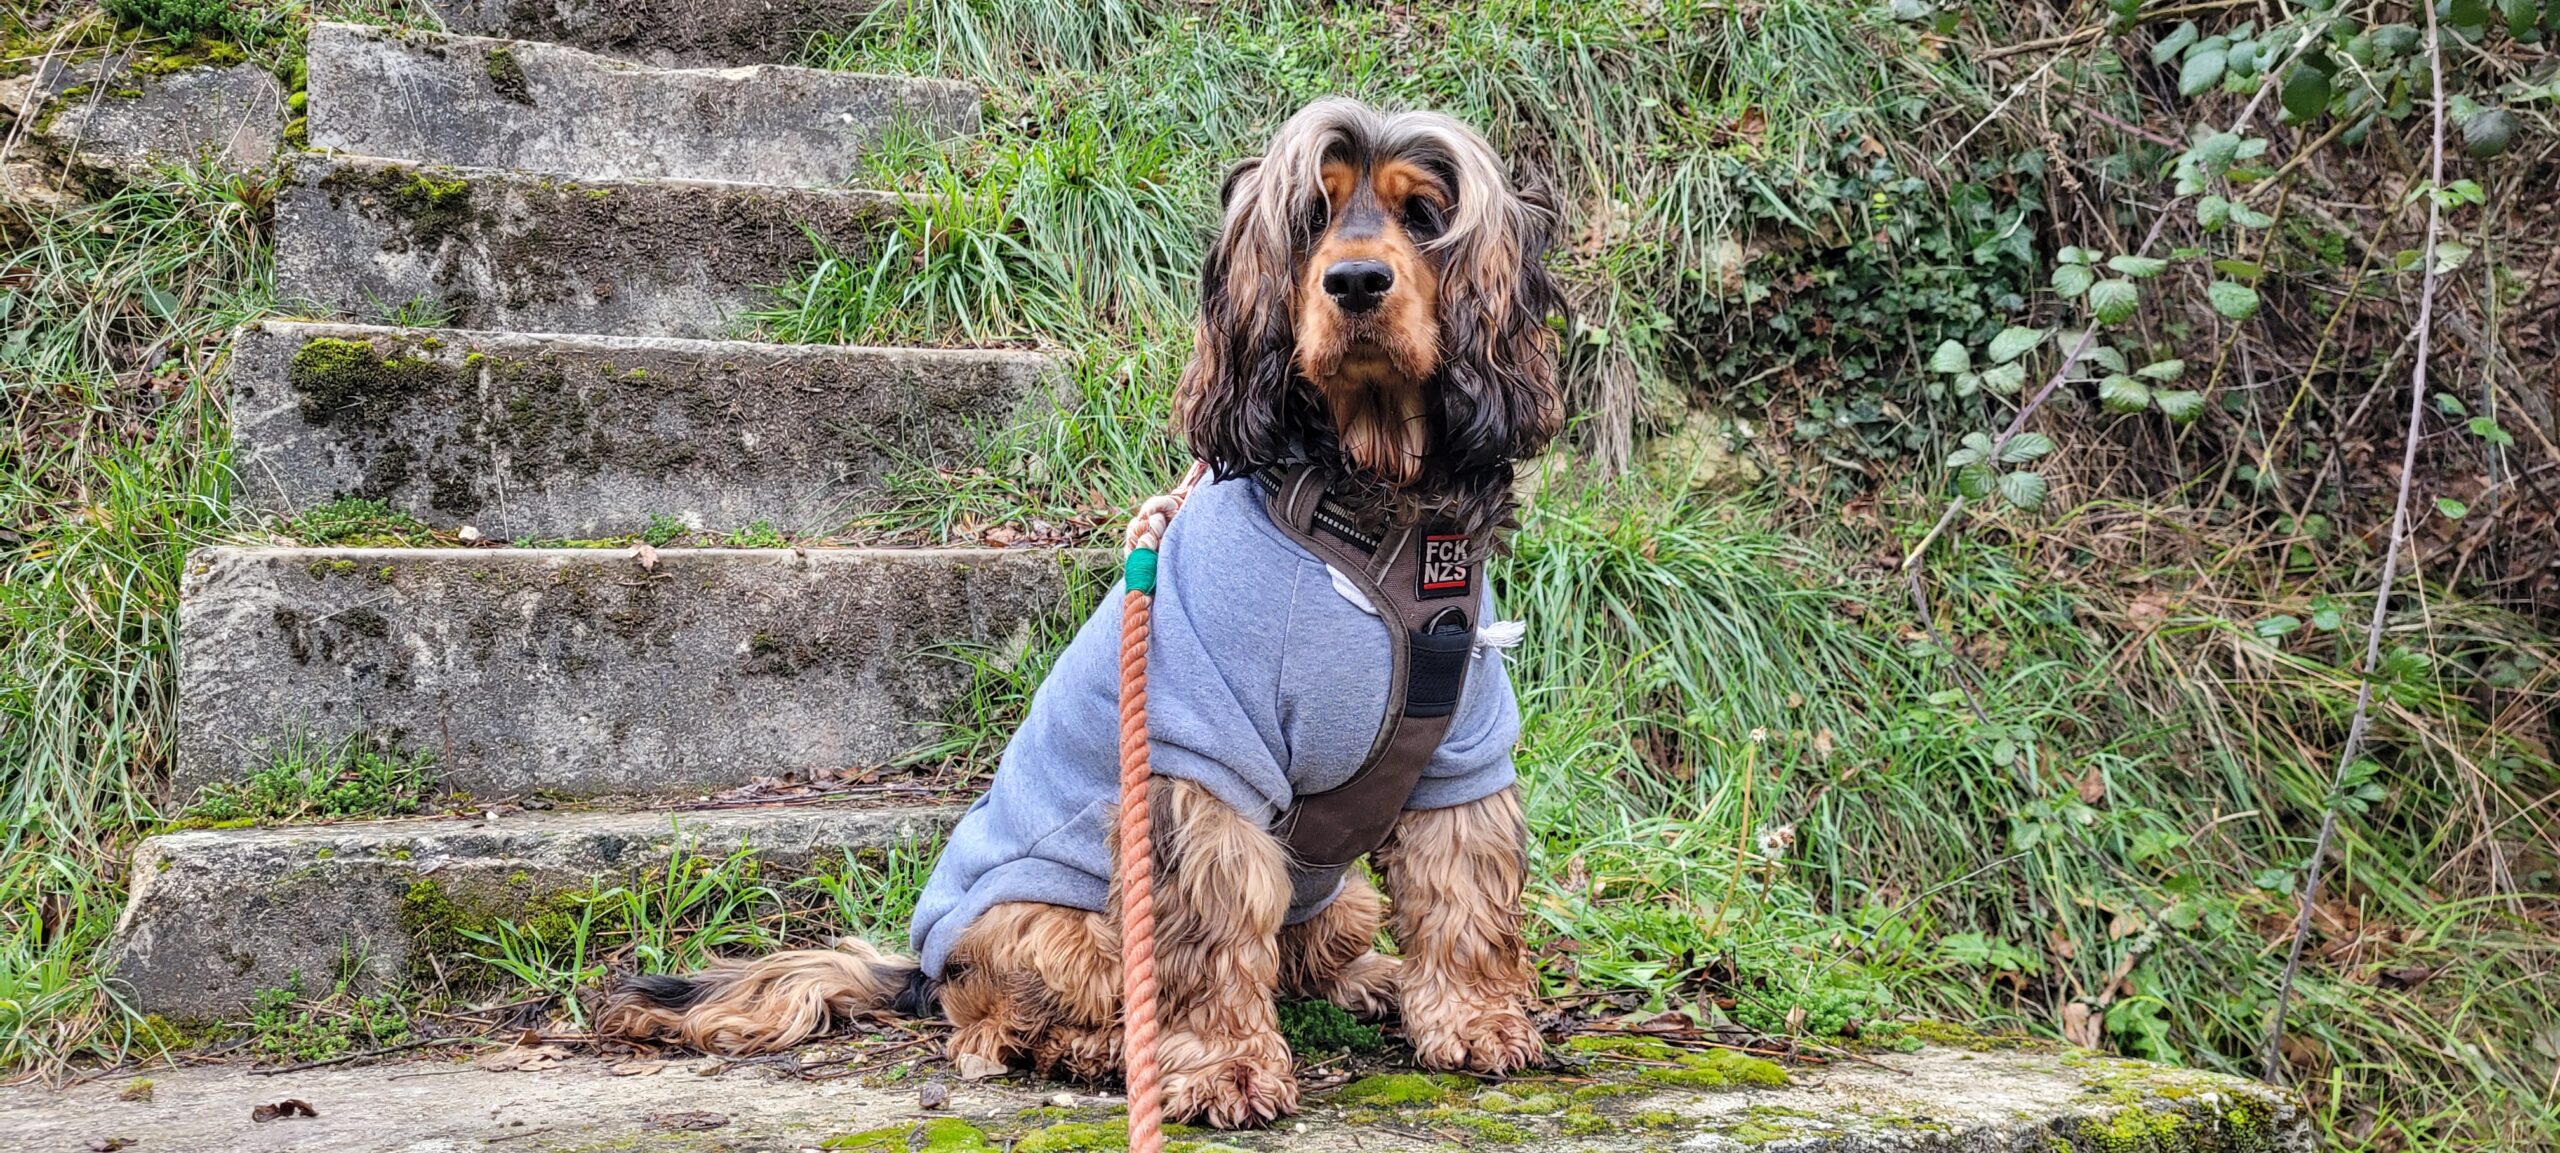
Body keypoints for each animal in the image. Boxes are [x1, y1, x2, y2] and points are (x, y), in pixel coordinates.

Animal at [599, 96, 1556, 1127]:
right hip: (1046, 923)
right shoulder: (1199, 755)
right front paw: (1223, 1066)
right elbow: (1209, 931)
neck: (1366, 504)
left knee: (1307, 955)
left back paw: (1368, 979)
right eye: (1310, 217)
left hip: (1337, 896)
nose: (1354, 281)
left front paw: (1476, 1020)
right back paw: (1100, 1050)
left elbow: (1465, 894)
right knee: (999, 1024)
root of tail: (922, 969)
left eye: (1422, 216)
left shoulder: (1465, 748)